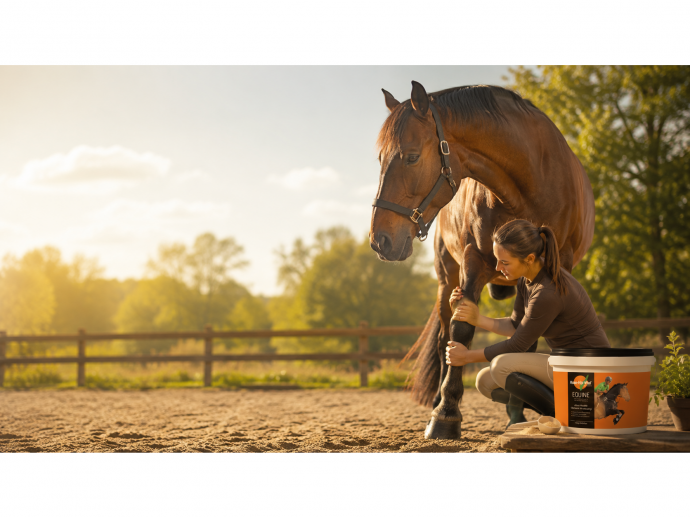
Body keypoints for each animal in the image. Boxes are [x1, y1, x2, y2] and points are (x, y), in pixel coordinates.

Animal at [369, 81, 595, 439]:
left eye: (412, 157)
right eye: (380, 159)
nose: (380, 240)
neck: (533, 178)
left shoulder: (556, 271)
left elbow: (525, 338)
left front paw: (517, 413)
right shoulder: (472, 262)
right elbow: (460, 331)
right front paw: (445, 413)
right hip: (447, 279)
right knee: (443, 338)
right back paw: (440, 398)